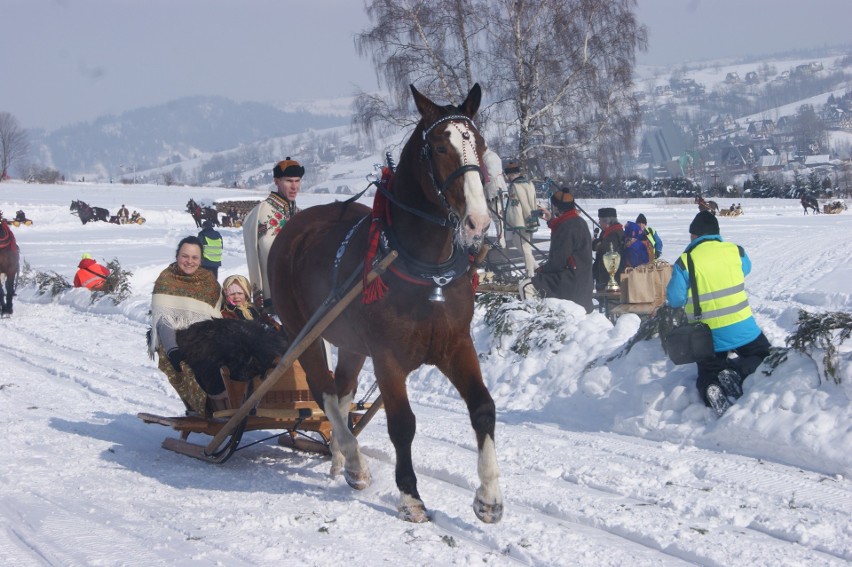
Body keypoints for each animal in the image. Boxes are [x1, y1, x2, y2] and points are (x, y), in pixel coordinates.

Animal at [270, 83, 502, 524]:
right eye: (440, 146)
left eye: (479, 144)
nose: (478, 223)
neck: (427, 270)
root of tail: (296, 225)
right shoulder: (387, 356)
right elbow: (402, 424)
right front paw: (410, 497)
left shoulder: (456, 344)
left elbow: (483, 407)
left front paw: (489, 497)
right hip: (302, 331)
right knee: (325, 393)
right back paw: (355, 462)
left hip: (350, 342)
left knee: (342, 393)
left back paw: (340, 459)